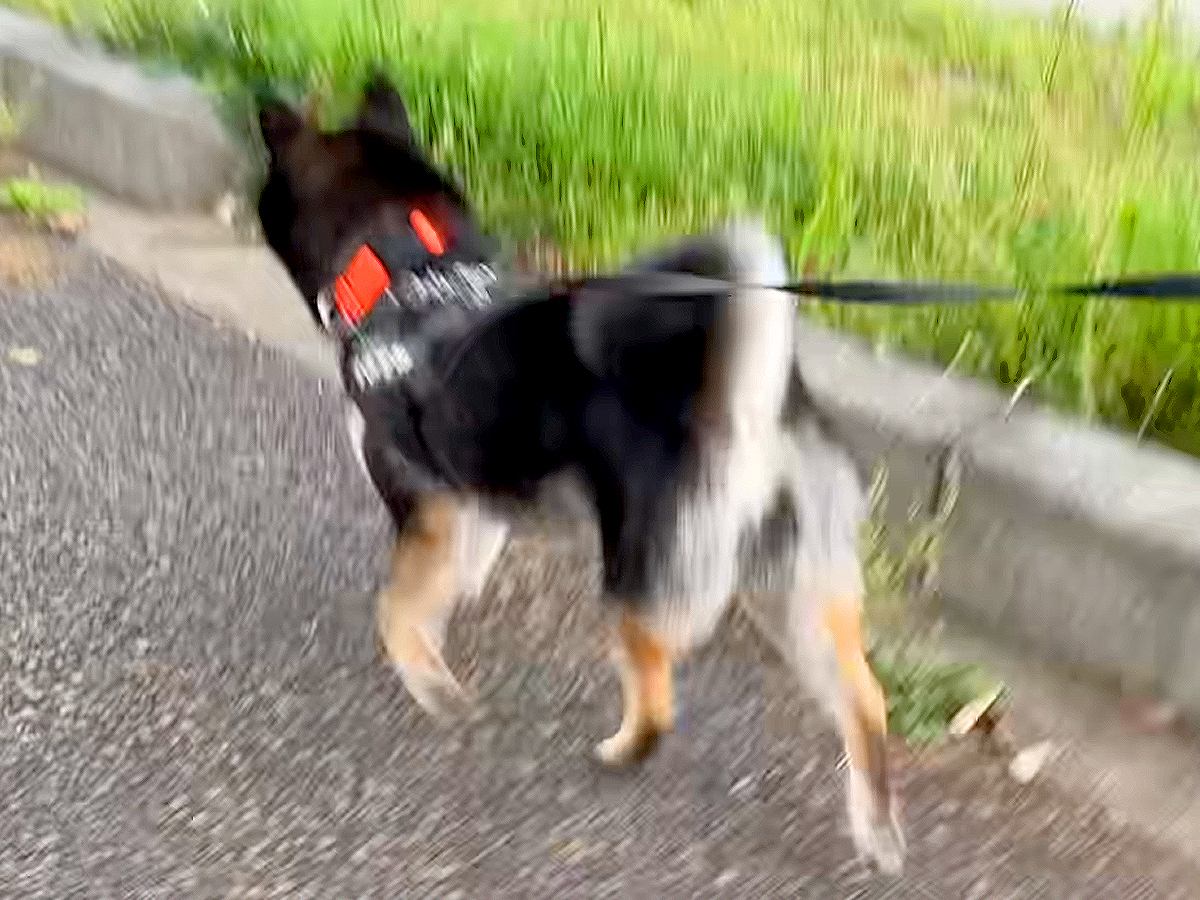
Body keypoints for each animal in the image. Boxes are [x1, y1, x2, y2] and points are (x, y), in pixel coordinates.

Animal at [258, 74, 902, 878]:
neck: (407, 279)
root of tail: (752, 415)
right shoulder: (472, 502)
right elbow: (450, 577)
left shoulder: (427, 503)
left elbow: (396, 609)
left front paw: (433, 686)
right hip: (793, 587)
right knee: (865, 700)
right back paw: (877, 831)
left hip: (645, 571)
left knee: (658, 699)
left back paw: (619, 753)